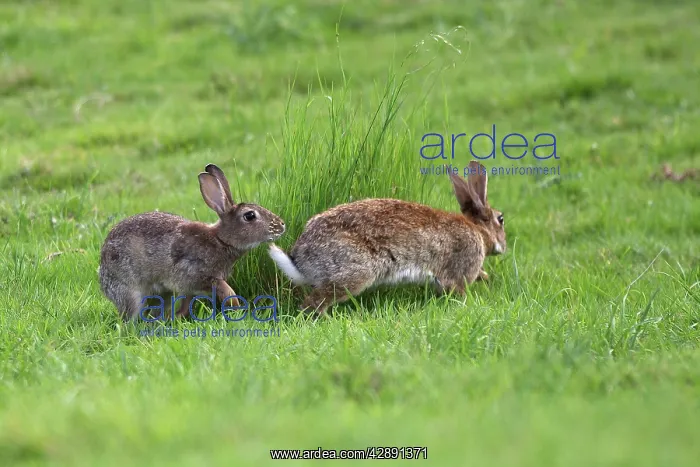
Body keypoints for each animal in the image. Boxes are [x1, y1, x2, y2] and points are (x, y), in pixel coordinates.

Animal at [99, 164, 286, 321]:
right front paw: (236, 306)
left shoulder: (190, 288)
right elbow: (223, 288)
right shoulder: (195, 273)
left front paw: (178, 318)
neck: (221, 240)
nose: (282, 225)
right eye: (250, 216)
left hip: (163, 294)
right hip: (129, 290)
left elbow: (187, 303)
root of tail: (102, 276)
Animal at [268, 161, 505, 316]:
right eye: (501, 219)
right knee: (314, 302)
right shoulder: (460, 272)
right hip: (354, 272)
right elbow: (459, 290)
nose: (503, 247)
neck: (478, 231)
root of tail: (299, 259)